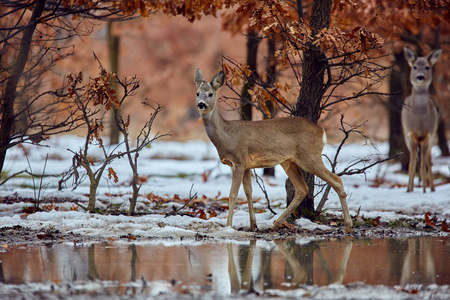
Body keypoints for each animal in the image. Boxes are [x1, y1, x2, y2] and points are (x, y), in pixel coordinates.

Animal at [192, 69, 352, 232]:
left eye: (210, 94)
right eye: (198, 93)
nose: (201, 104)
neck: (225, 136)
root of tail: (321, 131)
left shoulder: (238, 160)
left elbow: (233, 195)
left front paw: (228, 226)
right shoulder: (245, 165)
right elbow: (249, 192)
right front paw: (253, 225)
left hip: (310, 156)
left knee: (336, 180)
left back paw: (348, 225)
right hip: (289, 161)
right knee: (303, 189)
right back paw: (276, 224)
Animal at [402, 47, 442, 192]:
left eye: (427, 67)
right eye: (414, 67)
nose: (420, 77)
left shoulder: (428, 134)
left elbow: (423, 164)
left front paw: (424, 190)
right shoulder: (410, 134)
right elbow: (412, 163)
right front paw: (409, 189)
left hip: (434, 136)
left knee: (428, 160)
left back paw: (432, 188)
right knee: (416, 160)